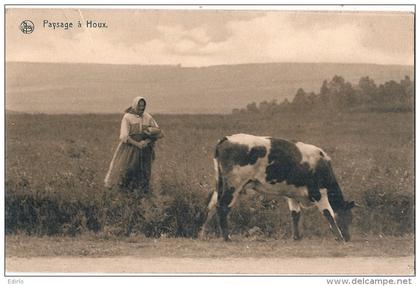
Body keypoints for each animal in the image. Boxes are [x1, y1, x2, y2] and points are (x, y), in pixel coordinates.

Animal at [200, 134, 354, 241]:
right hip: (234, 184)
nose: (348, 238)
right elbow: (328, 213)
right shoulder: (318, 193)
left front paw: (296, 237)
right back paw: (227, 237)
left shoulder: (292, 195)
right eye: (348, 217)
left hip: (219, 184)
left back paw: (201, 234)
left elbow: (295, 214)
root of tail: (227, 139)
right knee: (222, 206)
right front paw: (339, 237)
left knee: (210, 206)